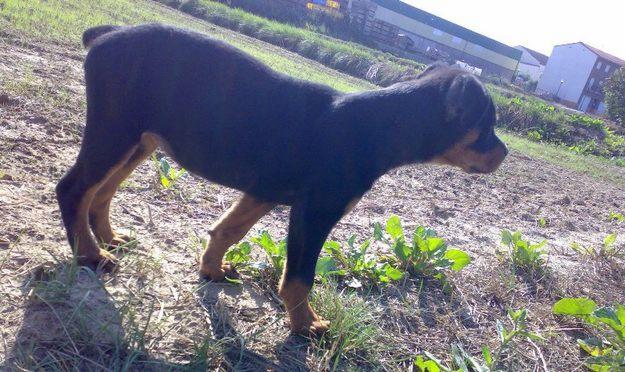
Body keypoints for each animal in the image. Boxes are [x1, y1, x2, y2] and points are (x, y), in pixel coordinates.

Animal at [57, 24, 508, 336]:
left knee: (102, 191)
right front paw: (306, 324)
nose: (504, 153)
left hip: (140, 140)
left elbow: (228, 230)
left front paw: (211, 270)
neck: (377, 125)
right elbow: (299, 276)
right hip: (115, 130)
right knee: (74, 189)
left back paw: (108, 238)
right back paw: (91, 255)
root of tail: (106, 35)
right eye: (486, 127)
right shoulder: (315, 211)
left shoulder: (264, 191)